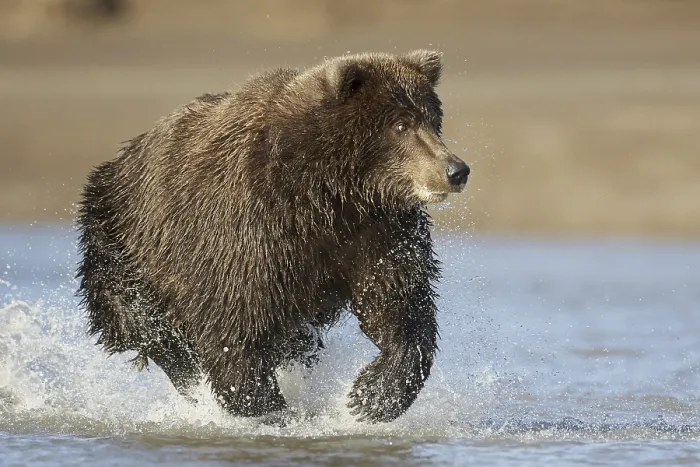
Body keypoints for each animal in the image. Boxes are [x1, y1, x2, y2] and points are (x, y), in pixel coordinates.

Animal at [76, 50, 470, 423]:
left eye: (432, 120)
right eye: (401, 124)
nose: (456, 170)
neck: (328, 193)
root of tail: (119, 158)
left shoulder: (377, 233)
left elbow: (397, 303)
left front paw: (369, 397)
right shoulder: (250, 227)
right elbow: (234, 325)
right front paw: (268, 409)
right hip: (123, 242)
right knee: (147, 325)